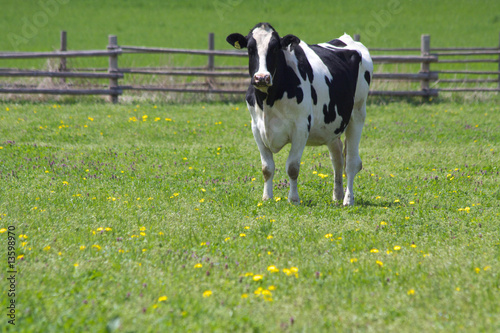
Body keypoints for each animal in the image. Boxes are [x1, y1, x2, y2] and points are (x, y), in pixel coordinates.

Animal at [227, 22, 372, 205]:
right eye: (250, 48)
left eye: (275, 48)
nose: (261, 78)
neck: (269, 100)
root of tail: (346, 39)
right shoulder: (256, 128)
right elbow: (267, 168)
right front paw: (267, 197)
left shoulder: (301, 128)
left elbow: (292, 167)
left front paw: (294, 199)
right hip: (332, 124)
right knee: (337, 159)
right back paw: (337, 195)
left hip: (357, 113)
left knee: (352, 163)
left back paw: (348, 199)